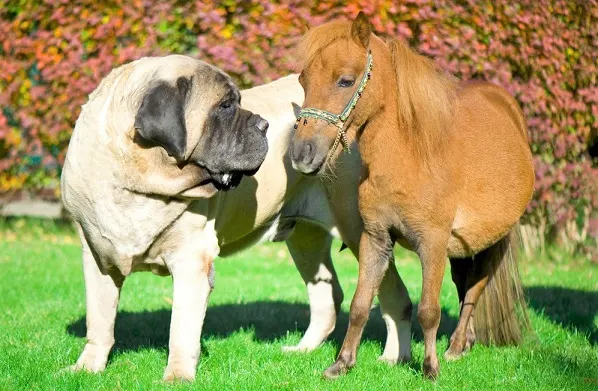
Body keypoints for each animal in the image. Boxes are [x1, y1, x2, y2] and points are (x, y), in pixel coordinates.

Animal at [62, 56, 418, 382]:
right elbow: (99, 319)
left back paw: (392, 358)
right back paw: (302, 350)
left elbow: (181, 329)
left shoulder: (191, 261)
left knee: (394, 297)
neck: (139, 181)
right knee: (326, 295)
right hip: (306, 240)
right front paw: (86, 368)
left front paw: (177, 377)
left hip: (362, 234)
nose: (263, 125)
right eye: (224, 106)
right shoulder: (97, 257)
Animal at [290, 12, 536, 380]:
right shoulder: (375, 239)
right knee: (464, 284)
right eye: (304, 81)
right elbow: (361, 304)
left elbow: (429, 310)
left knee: (476, 286)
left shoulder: (432, 243)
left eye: (345, 81)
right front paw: (342, 364)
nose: (301, 153)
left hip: (494, 240)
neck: (407, 158)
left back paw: (455, 348)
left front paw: (430, 368)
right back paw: (465, 343)